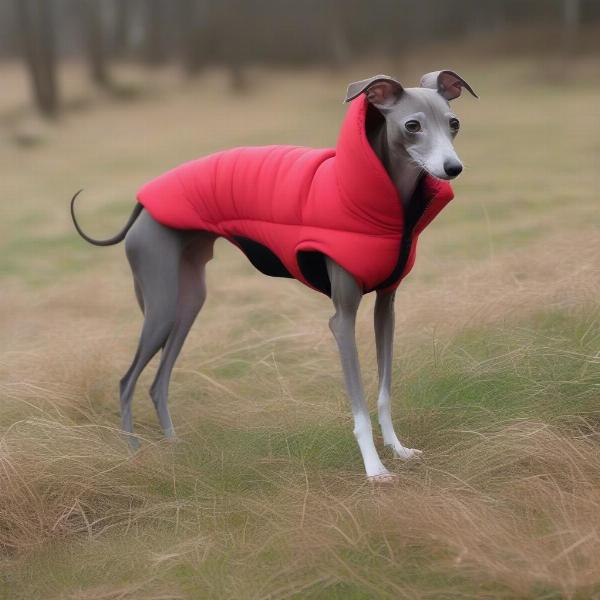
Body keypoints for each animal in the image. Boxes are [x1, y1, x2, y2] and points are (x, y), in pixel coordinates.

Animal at [70, 71, 476, 482]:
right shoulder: (342, 319)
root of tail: (143, 201)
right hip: (162, 305)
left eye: (454, 123)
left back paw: (173, 446)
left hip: (188, 302)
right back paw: (134, 454)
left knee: (158, 382)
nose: (452, 168)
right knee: (126, 381)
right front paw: (375, 469)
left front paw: (398, 450)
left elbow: (384, 392)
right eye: (412, 126)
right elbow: (359, 403)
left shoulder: (386, 307)